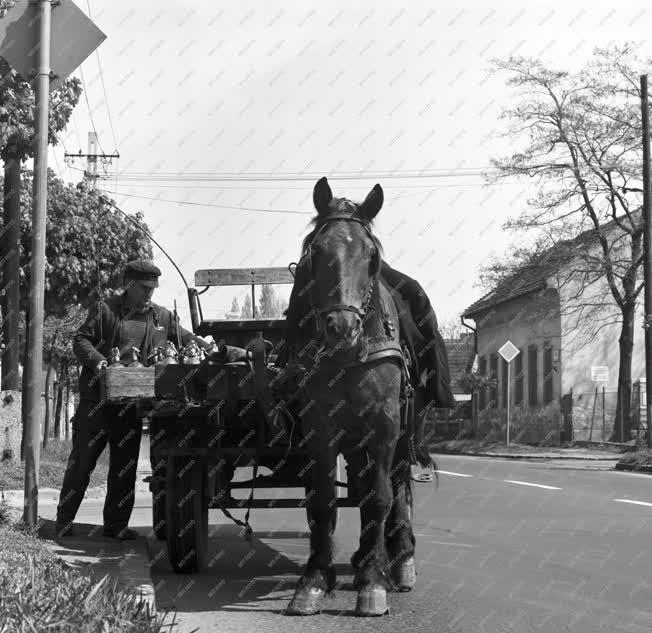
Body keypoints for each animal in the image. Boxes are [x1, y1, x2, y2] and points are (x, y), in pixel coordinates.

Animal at [284, 175, 420, 616]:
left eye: (371, 255)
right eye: (315, 251)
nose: (341, 329)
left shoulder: (385, 425)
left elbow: (379, 498)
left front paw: (373, 582)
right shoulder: (319, 425)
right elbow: (323, 499)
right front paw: (314, 579)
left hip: (403, 432)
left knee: (396, 486)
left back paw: (398, 559)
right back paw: (363, 557)